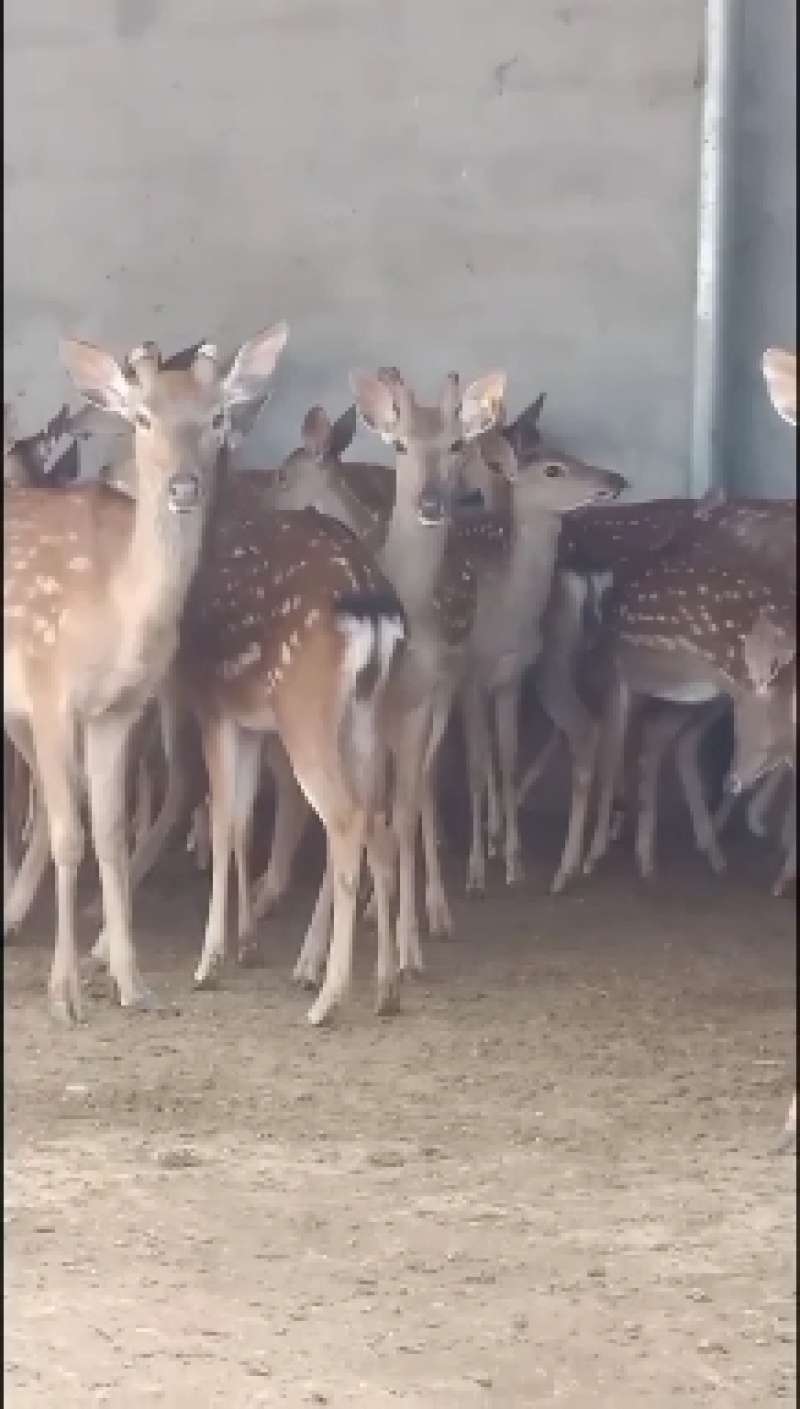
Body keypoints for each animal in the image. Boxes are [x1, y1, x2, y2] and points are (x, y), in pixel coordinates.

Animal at [2, 324, 290, 1020]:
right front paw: (66, 994)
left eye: (216, 417)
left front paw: (132, 985)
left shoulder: (117, 709)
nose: (183, 486)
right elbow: (68, 833)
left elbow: (107, 832)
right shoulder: (48, 689)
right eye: (141, 417)